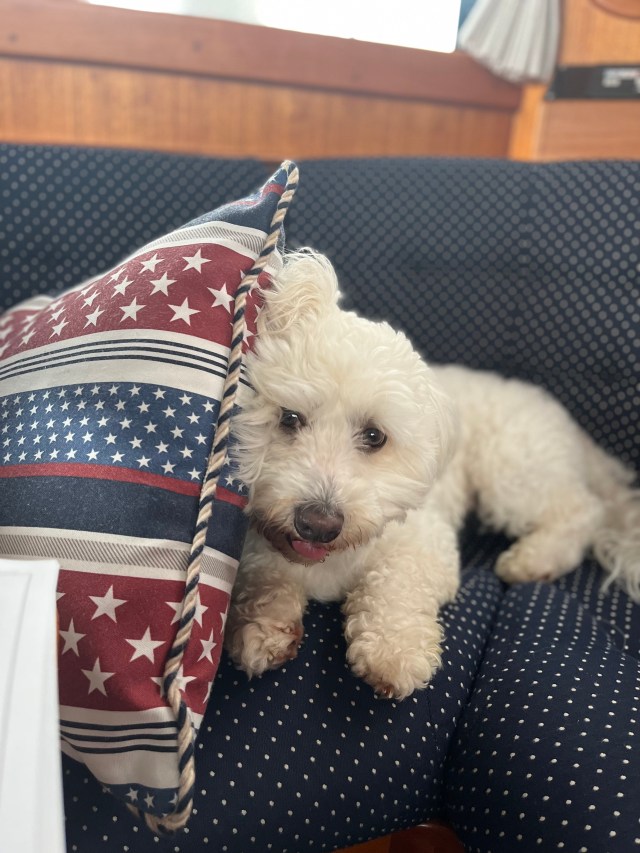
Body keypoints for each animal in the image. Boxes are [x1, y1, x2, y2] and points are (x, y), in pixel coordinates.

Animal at [224, 250, 640, 699]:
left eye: (375, 436)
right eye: (289, 418)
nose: (318, 523)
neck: (332, 559)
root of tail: (576, 434)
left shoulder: (426, 541)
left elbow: (399, 581)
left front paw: (393, 648)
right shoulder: (259, 550)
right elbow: (265, 578)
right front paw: (260, 629)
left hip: (510, 468)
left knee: (581, 510)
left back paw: (533, 559)